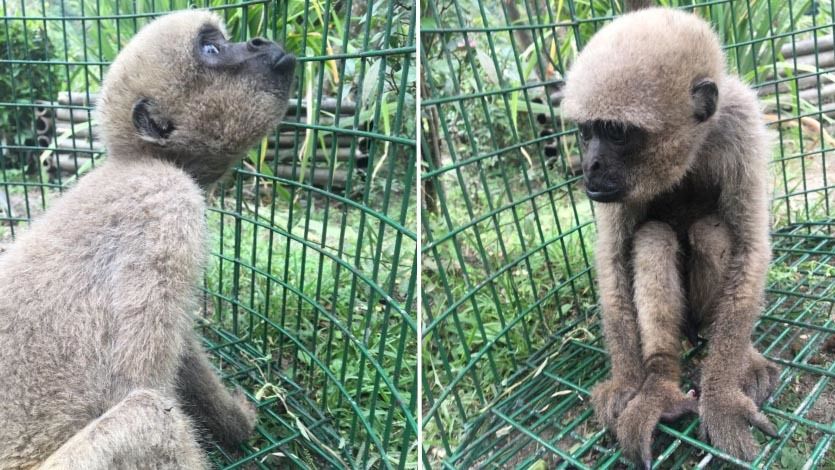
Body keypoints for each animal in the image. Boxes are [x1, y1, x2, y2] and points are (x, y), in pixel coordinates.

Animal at [0, 10, 295, 468]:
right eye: (212, 48)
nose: (260, 41)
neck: (140, 161)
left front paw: (234, 422)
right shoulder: (168, 200)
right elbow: (139, 384)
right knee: (149, 413)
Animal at [561, 8, 780, 467]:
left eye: (617, 132)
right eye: (587, 131)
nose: (589, 166)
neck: (691, 148)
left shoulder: (741, 122)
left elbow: (751, 249)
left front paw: (720, 395)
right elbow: (612, 261)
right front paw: (628, 384)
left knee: (711, 231)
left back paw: (739, 357)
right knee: (653, 237)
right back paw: (659, 383)